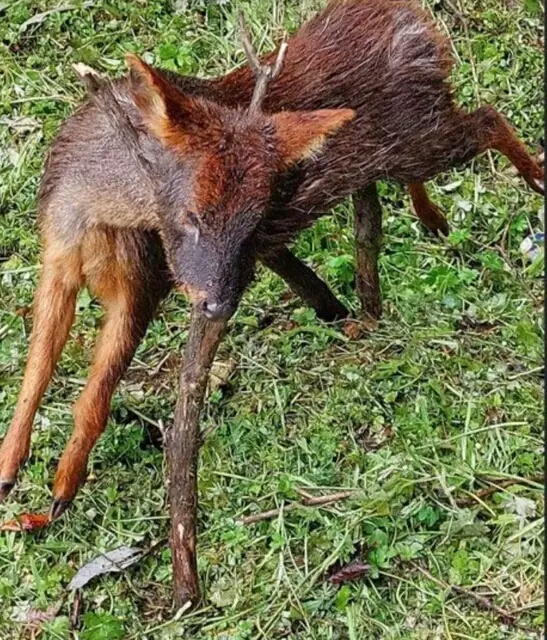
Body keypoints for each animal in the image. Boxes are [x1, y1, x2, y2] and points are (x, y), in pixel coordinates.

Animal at [0, 0, 540, 524]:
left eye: (256, 219)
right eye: (191, 213)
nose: (219, 306)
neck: (98, 219)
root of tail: (418, 21)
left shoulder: (144, 283)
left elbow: (96, 393)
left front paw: (61, 491)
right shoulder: (58, 257)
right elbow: (36, 366)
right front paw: (10, 468)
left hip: (420, 138)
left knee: (487, 116)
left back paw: (534, 181)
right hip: (411, 144)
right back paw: (432, 222)